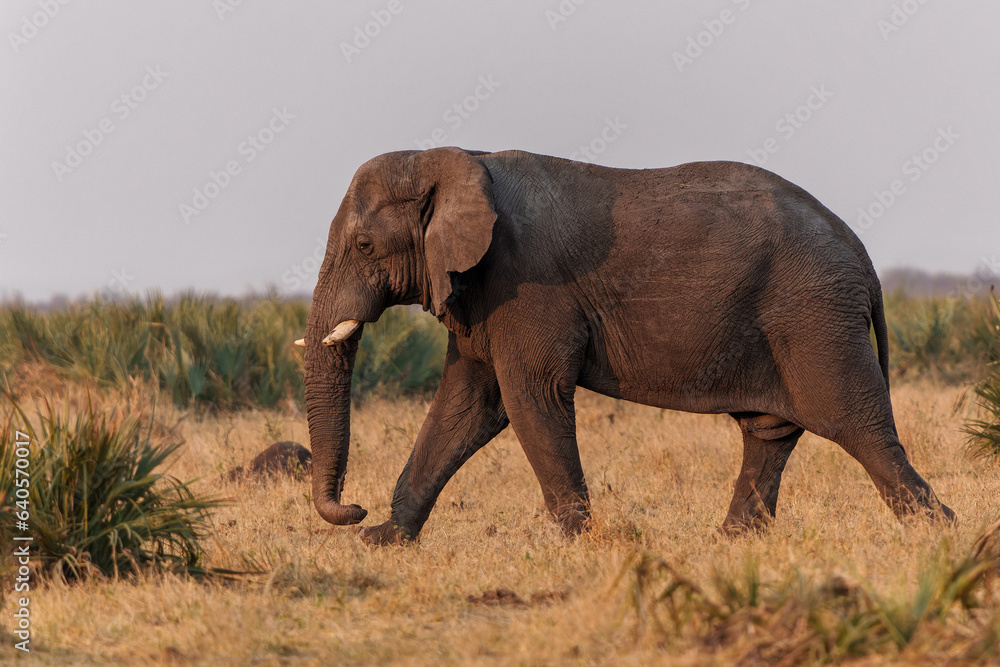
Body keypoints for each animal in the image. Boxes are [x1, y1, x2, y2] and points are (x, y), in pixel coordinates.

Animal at [299, 146, 955, 545]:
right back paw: (730, 544)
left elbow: (530, 398)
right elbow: (467, 406)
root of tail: (863, 257)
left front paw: (580, 544)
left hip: (815, 314)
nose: (352, 510)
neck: (458, 155)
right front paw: (384, 542)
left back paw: (938, 533)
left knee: (855, 424)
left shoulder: (525, 284)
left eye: (364, 246)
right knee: (770, 432)